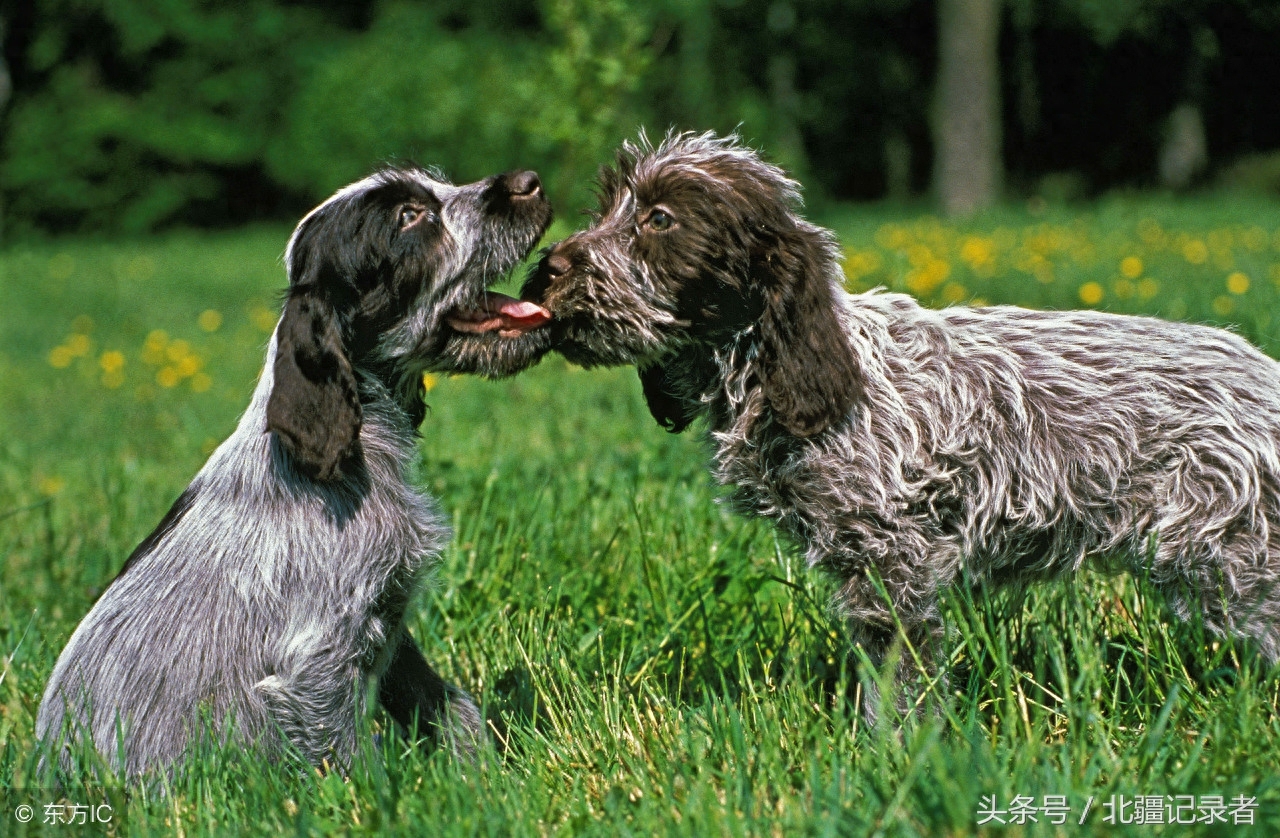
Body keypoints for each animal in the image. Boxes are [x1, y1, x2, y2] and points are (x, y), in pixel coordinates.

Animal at [36, 163, 550, 772]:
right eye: (409, 217)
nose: (530, 180)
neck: (357, 452)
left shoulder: (386, 617)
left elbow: (449, 706)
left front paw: (479, 774)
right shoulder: (317, 661)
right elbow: (351, 762)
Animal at [448, 131, 1280, 721]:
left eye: (660, 219)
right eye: (606, 212)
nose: (548, 269)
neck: (777, 371)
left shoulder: (891, 558)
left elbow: (898, 686)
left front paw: (896, 755)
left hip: (1241, 561)